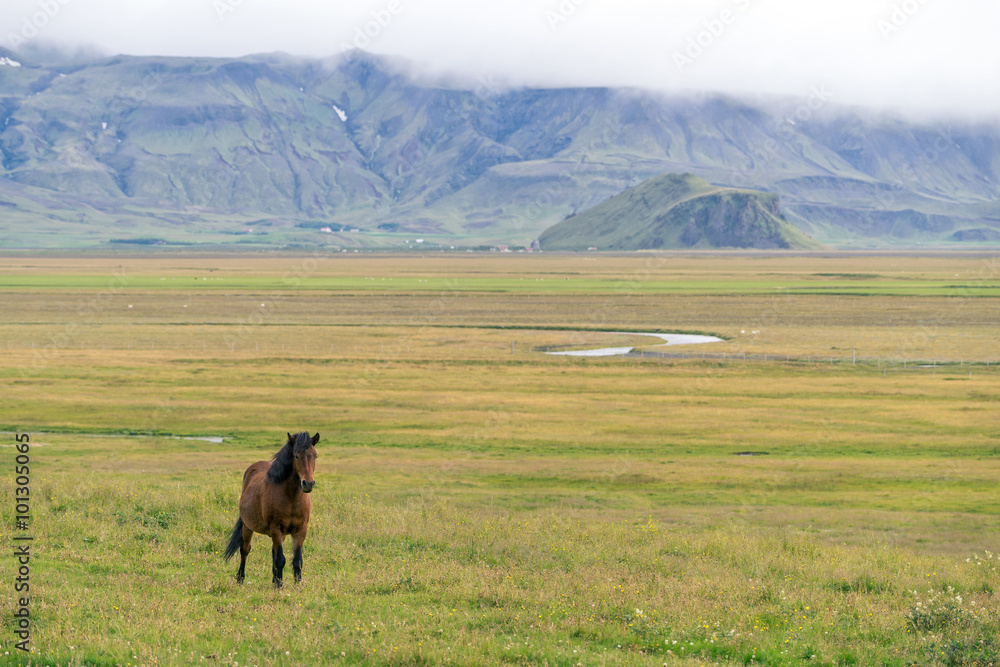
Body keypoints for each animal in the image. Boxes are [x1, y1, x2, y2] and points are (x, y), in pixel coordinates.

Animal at [223, 432, 318, 587]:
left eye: (315, 455)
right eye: (296, 456)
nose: (308, 483)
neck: (291, 497)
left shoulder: (300, 530)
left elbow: (297, 560)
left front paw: (296, 586)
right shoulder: (276, 528)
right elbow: (280, 560)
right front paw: (279, 586)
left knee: (273, 551)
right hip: (248, 527)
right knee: (245, 550)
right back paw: (240, 579)